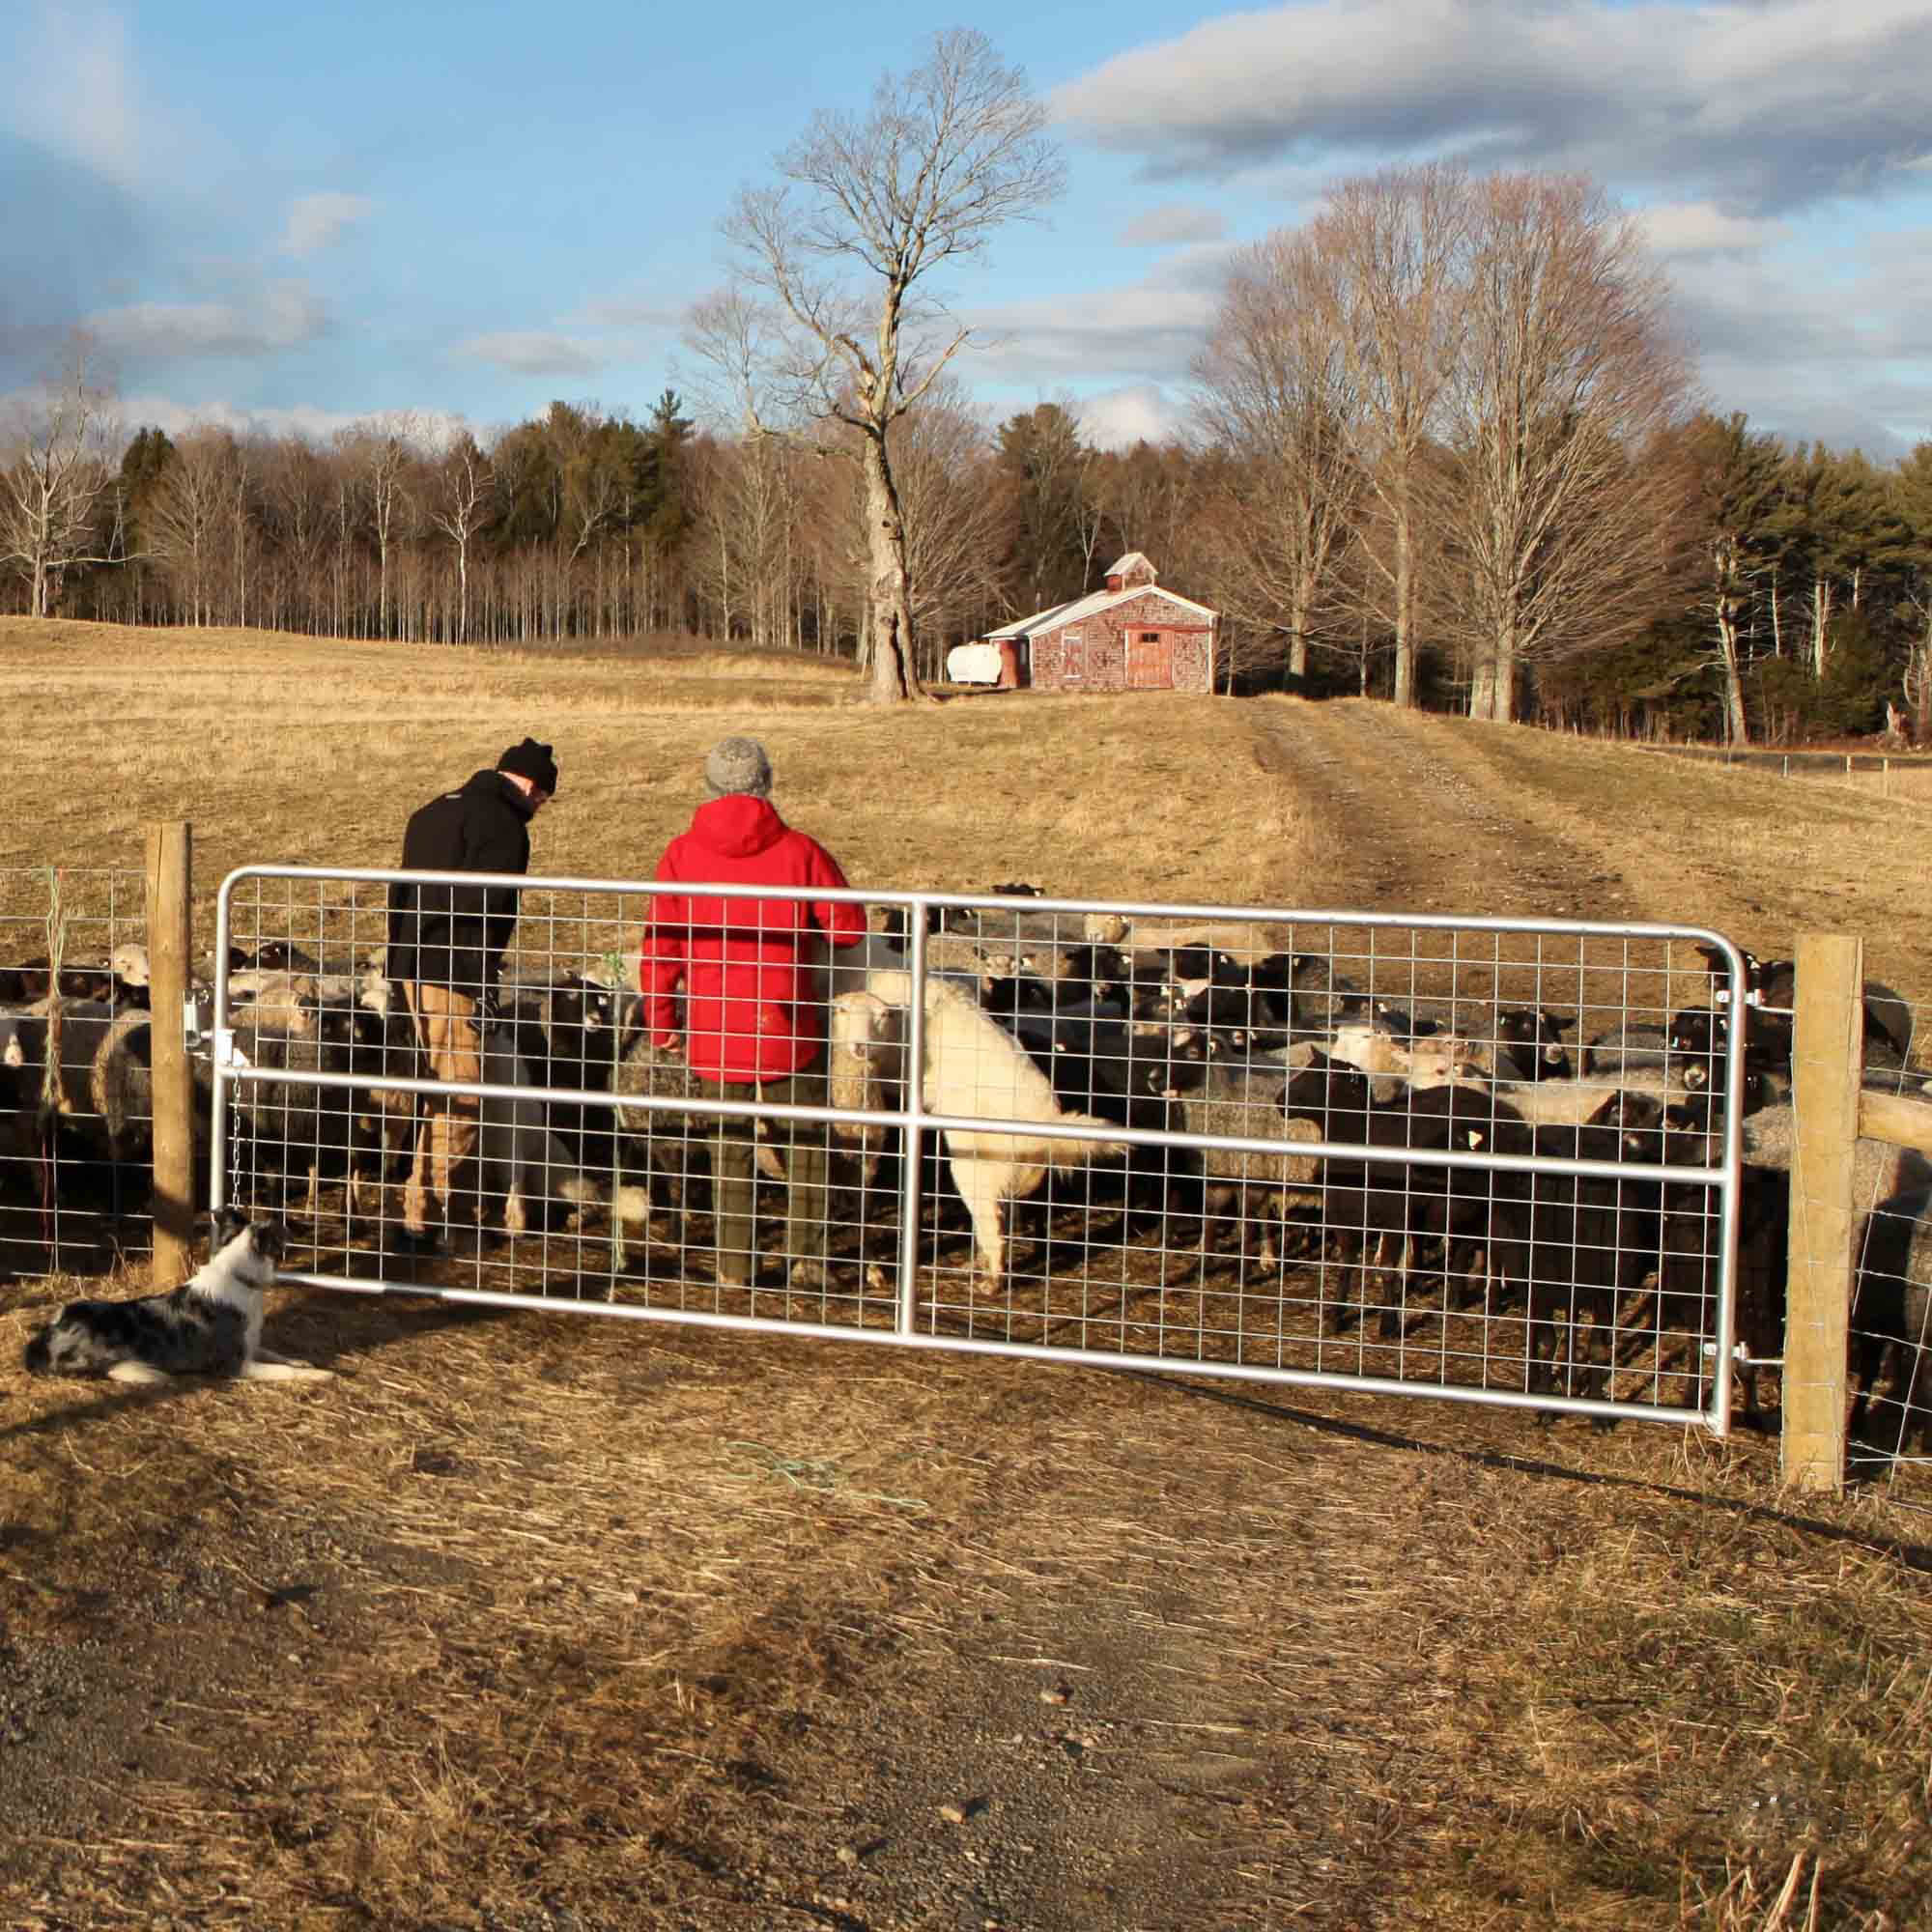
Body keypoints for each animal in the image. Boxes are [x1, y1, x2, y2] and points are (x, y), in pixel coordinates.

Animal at [21, 1206, 332, 1391]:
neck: (237, 1277)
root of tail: (43, 1340)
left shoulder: (250, 1346)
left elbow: (278, 1354)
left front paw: (302, 1362)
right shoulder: (237, 1365)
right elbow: (284, 1371)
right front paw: (320, 1375)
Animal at [831, 974, 1128, 1291]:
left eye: (883, 1016)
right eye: (843, 1012)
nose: (860, 1047)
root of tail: (1045, 1119)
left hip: (973, 1169)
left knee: (993, 1221)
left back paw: (992, 1279)